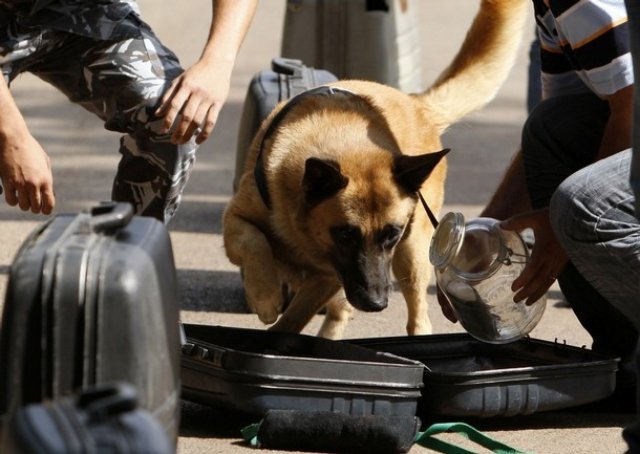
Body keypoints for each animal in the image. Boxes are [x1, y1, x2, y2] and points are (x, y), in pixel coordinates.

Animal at [222, 0, 528, 338]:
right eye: (345, 235)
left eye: (391, 234)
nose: (376, 303)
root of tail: (417, 105)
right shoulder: (235, 221)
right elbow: (255, 242)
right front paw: (264, 296)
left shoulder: (328, 277)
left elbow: (293, 319)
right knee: (340, 310)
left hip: (412, 257)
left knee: (416, 315)